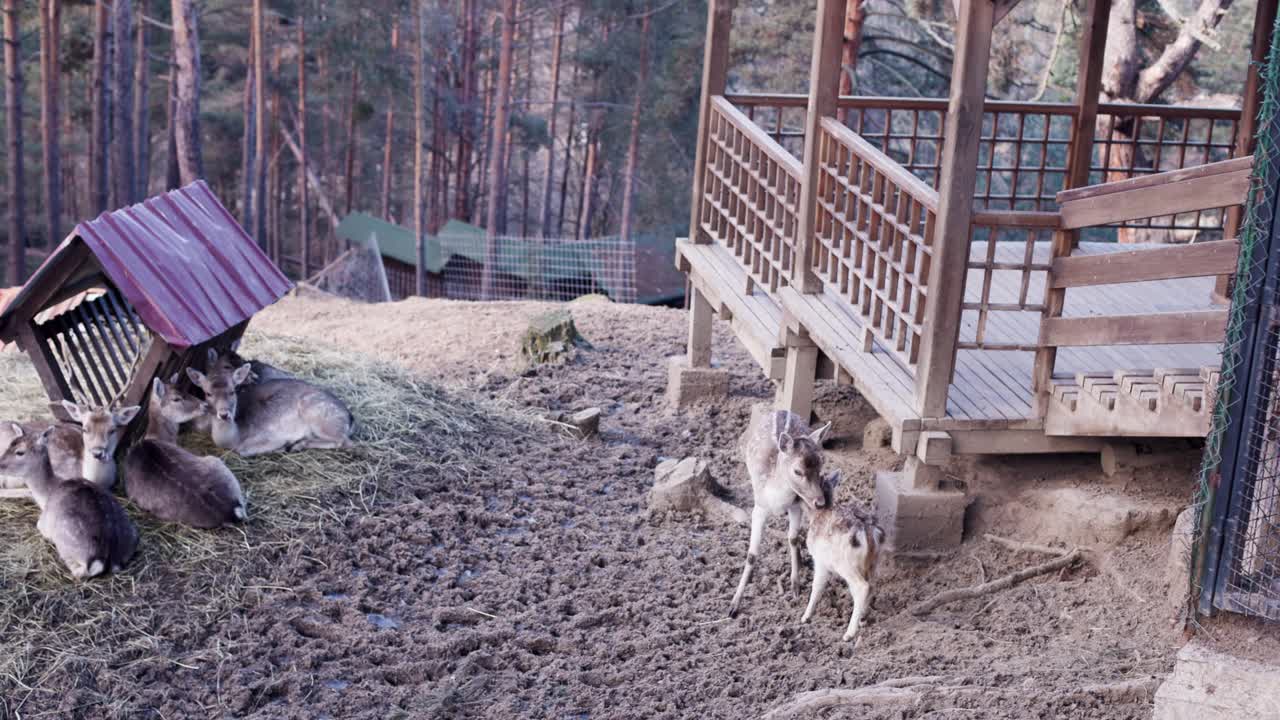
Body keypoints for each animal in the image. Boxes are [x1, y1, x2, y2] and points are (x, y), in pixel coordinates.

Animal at [0, 420, 138, 576]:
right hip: (133, 535)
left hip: (64, 542)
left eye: (20, 452)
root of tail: (107, 558)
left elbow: (39, 525)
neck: (46, 495)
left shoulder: (44, 523)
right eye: (9, 444)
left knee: (79, 572)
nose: (0, 464)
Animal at [186, 348, 355, 453]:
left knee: (344, 441)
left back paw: (297, 445)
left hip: (319, 417)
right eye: (207, 393)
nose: (224, 414)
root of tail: (350, 418)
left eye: (232, 391)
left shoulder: (270, 436)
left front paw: (285, 445)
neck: (235, 437)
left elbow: (245, 450)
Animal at [727, 409, 834, 617]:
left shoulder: (796, 505)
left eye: (821, 465)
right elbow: (752, 554)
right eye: (797, 471)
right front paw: (734, 605)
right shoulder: (759, 507)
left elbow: (793, 538)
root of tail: (782, 410)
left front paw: (795, 586)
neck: (777, 500)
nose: (820, 502)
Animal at [803, 471, 885, 638]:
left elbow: (817, 586)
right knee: (872, 585)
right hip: (873, 563)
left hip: (845, 564)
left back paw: (849, 633)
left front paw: (805, 617)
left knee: (862, 587)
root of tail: (868, 532)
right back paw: (863, 619)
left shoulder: (820, 560)